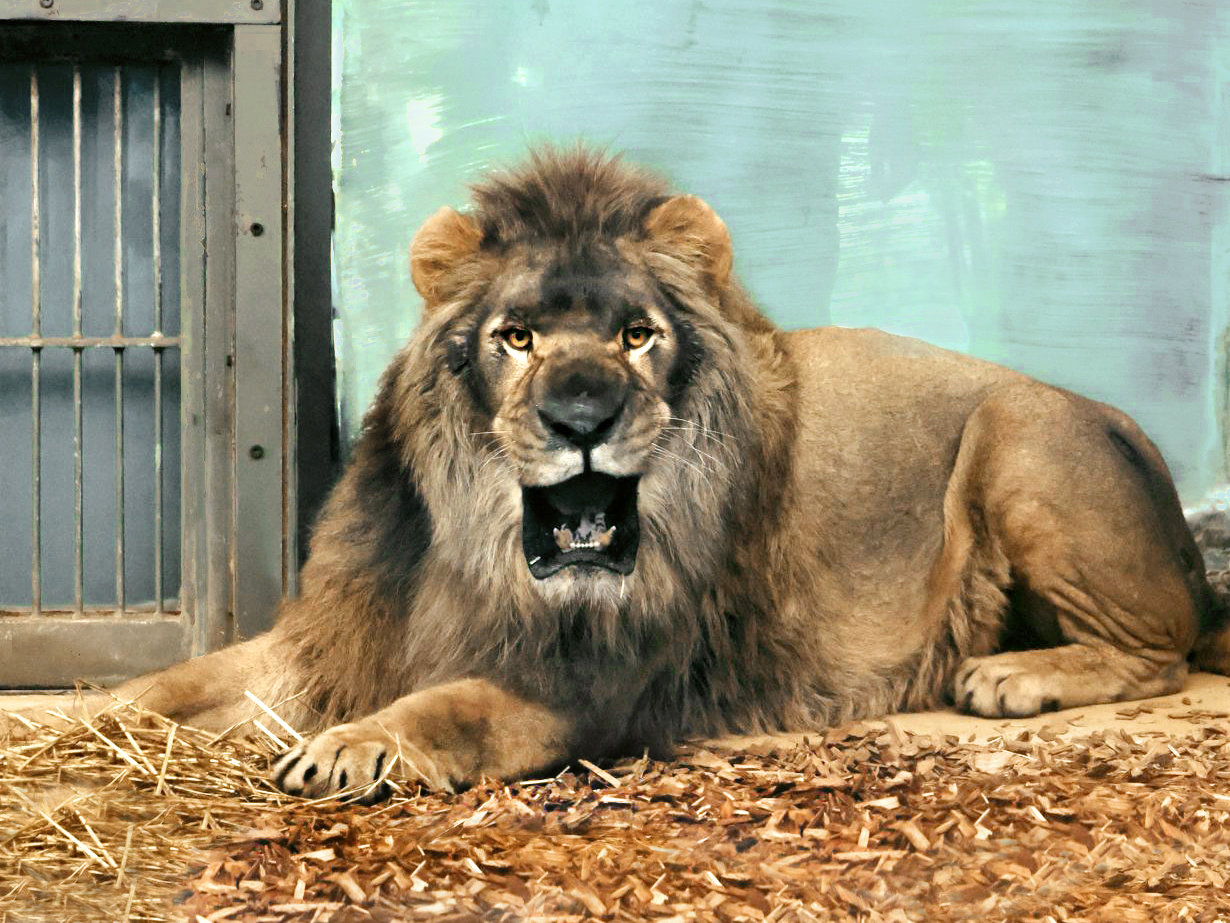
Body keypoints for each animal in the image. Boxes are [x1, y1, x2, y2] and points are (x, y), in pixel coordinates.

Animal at [107, 147, 1229, 801]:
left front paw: (354, 745)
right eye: (517, 336)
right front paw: (94, 712)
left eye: (636, 335)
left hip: (1014, 431)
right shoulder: (330, 633)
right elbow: (170, 684)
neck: (478, 550)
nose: (583, 417)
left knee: (1163, 650)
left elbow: (445, 704)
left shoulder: (590, 687)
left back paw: (1014, 673)